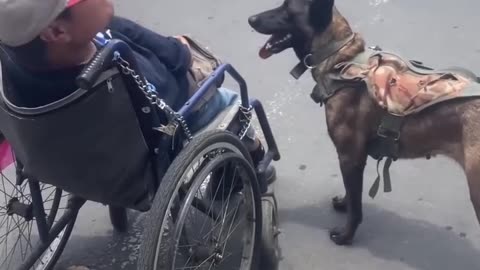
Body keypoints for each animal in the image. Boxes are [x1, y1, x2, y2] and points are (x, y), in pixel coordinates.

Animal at [248, 0, 480, 246]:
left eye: (287, 9)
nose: (251, 20)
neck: (341, 58)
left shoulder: (350, 157)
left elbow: (356, 208)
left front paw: (345, 236)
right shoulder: (353, 159)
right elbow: (351, 194)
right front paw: (344, 202)